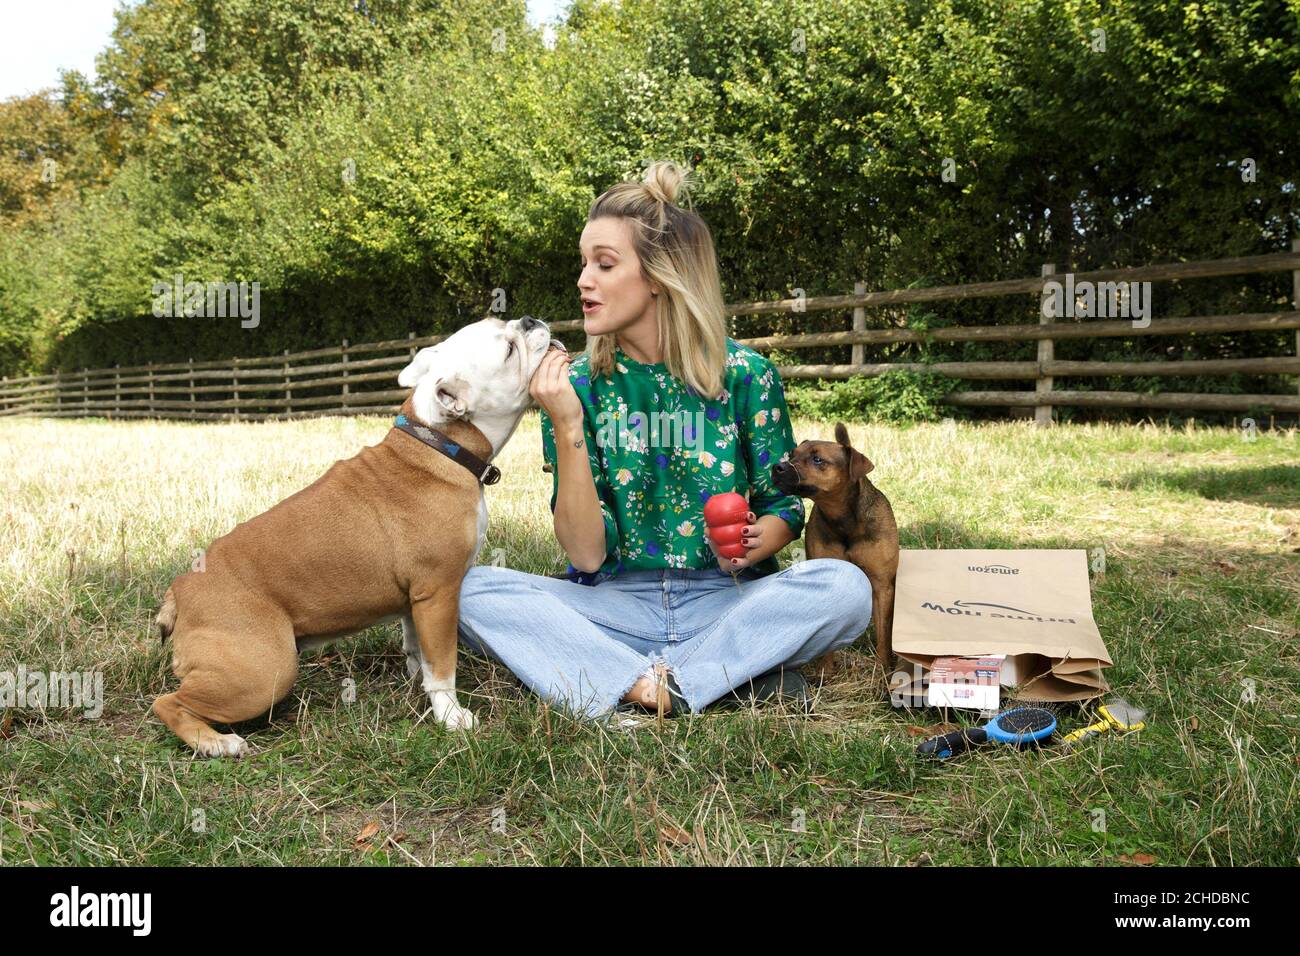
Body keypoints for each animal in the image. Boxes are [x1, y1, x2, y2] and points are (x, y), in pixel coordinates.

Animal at [152, 317, 559, 759]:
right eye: (508, 350)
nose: (530, 321)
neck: (441, 444)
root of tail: (180, 590)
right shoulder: (439, 593)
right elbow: (442, 665)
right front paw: (450, 716)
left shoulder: (416, 600)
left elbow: (417, 649)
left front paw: (417, 684)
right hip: (264, 671)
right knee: (168, 703)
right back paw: (216, 743)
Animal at [769, 421, 894, 671]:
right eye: (792, 454)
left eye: (818, 460)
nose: (778, 467)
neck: (843, 519)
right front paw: (827, 671)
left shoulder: (882, 585)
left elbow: (884, 636)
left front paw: (883, 669)